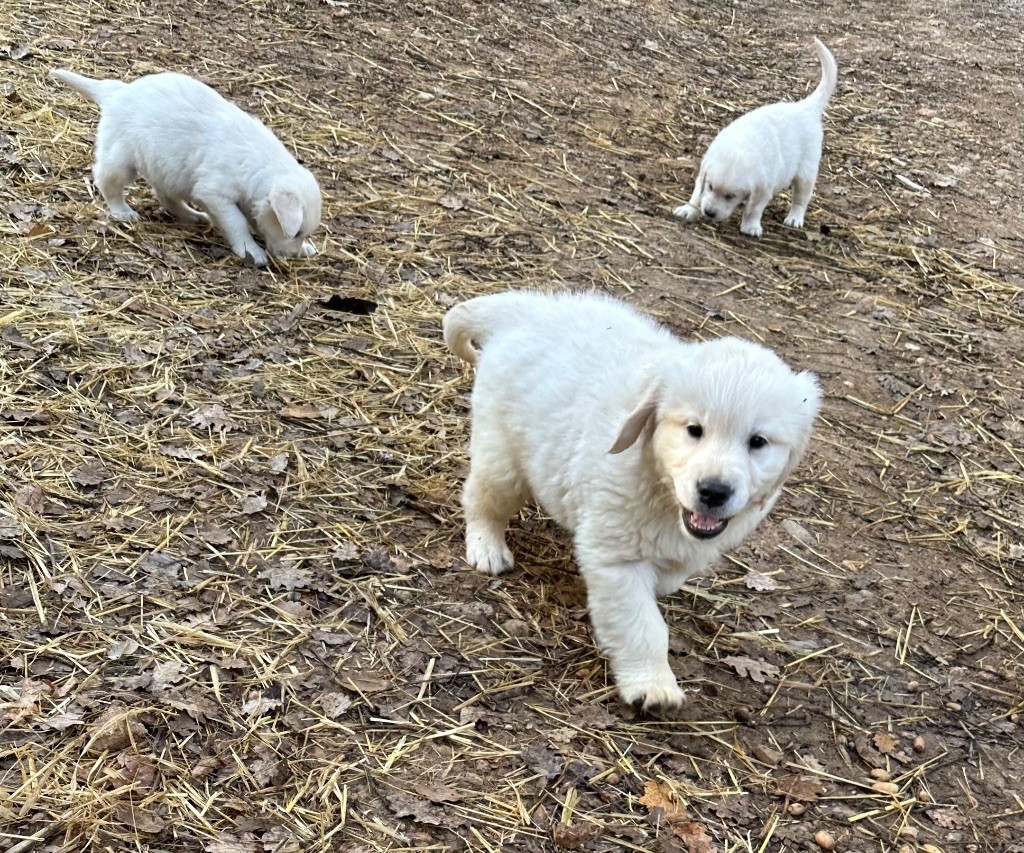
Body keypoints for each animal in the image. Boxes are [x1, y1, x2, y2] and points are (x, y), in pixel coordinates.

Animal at [50, 68, 319, 264]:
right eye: (295, 232)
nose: (291, 255)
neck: (261, 166)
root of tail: (118, 92)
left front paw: (305, 248)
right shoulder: (216, 195)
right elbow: (238, 223)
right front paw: (251, 250)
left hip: (170, 171)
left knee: (166, 197)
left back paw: (193, 216)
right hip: (122, 159)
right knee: (107, 182)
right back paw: (123, 211)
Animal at [444, 292, 819, 712]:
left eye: (758, 441)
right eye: (694, 430)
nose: (714, 491)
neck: (661, 488)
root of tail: (527, 309)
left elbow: (668, 576)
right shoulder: (617, 560)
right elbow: (642, 625)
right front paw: (653, 685)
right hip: (503, 458)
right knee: (483, 499)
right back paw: (487, 547)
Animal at [675, 38, 835, 237]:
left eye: (730, 196)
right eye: (711, 187)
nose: (709, 213)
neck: (740, 150)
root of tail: (805, 107)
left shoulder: (763, 188)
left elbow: (753, 209)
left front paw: (750, 226)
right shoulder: (705, 171)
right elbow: (697, 195)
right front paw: (689, 210)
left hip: (806, 171)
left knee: (801, 198)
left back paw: (794, 218)